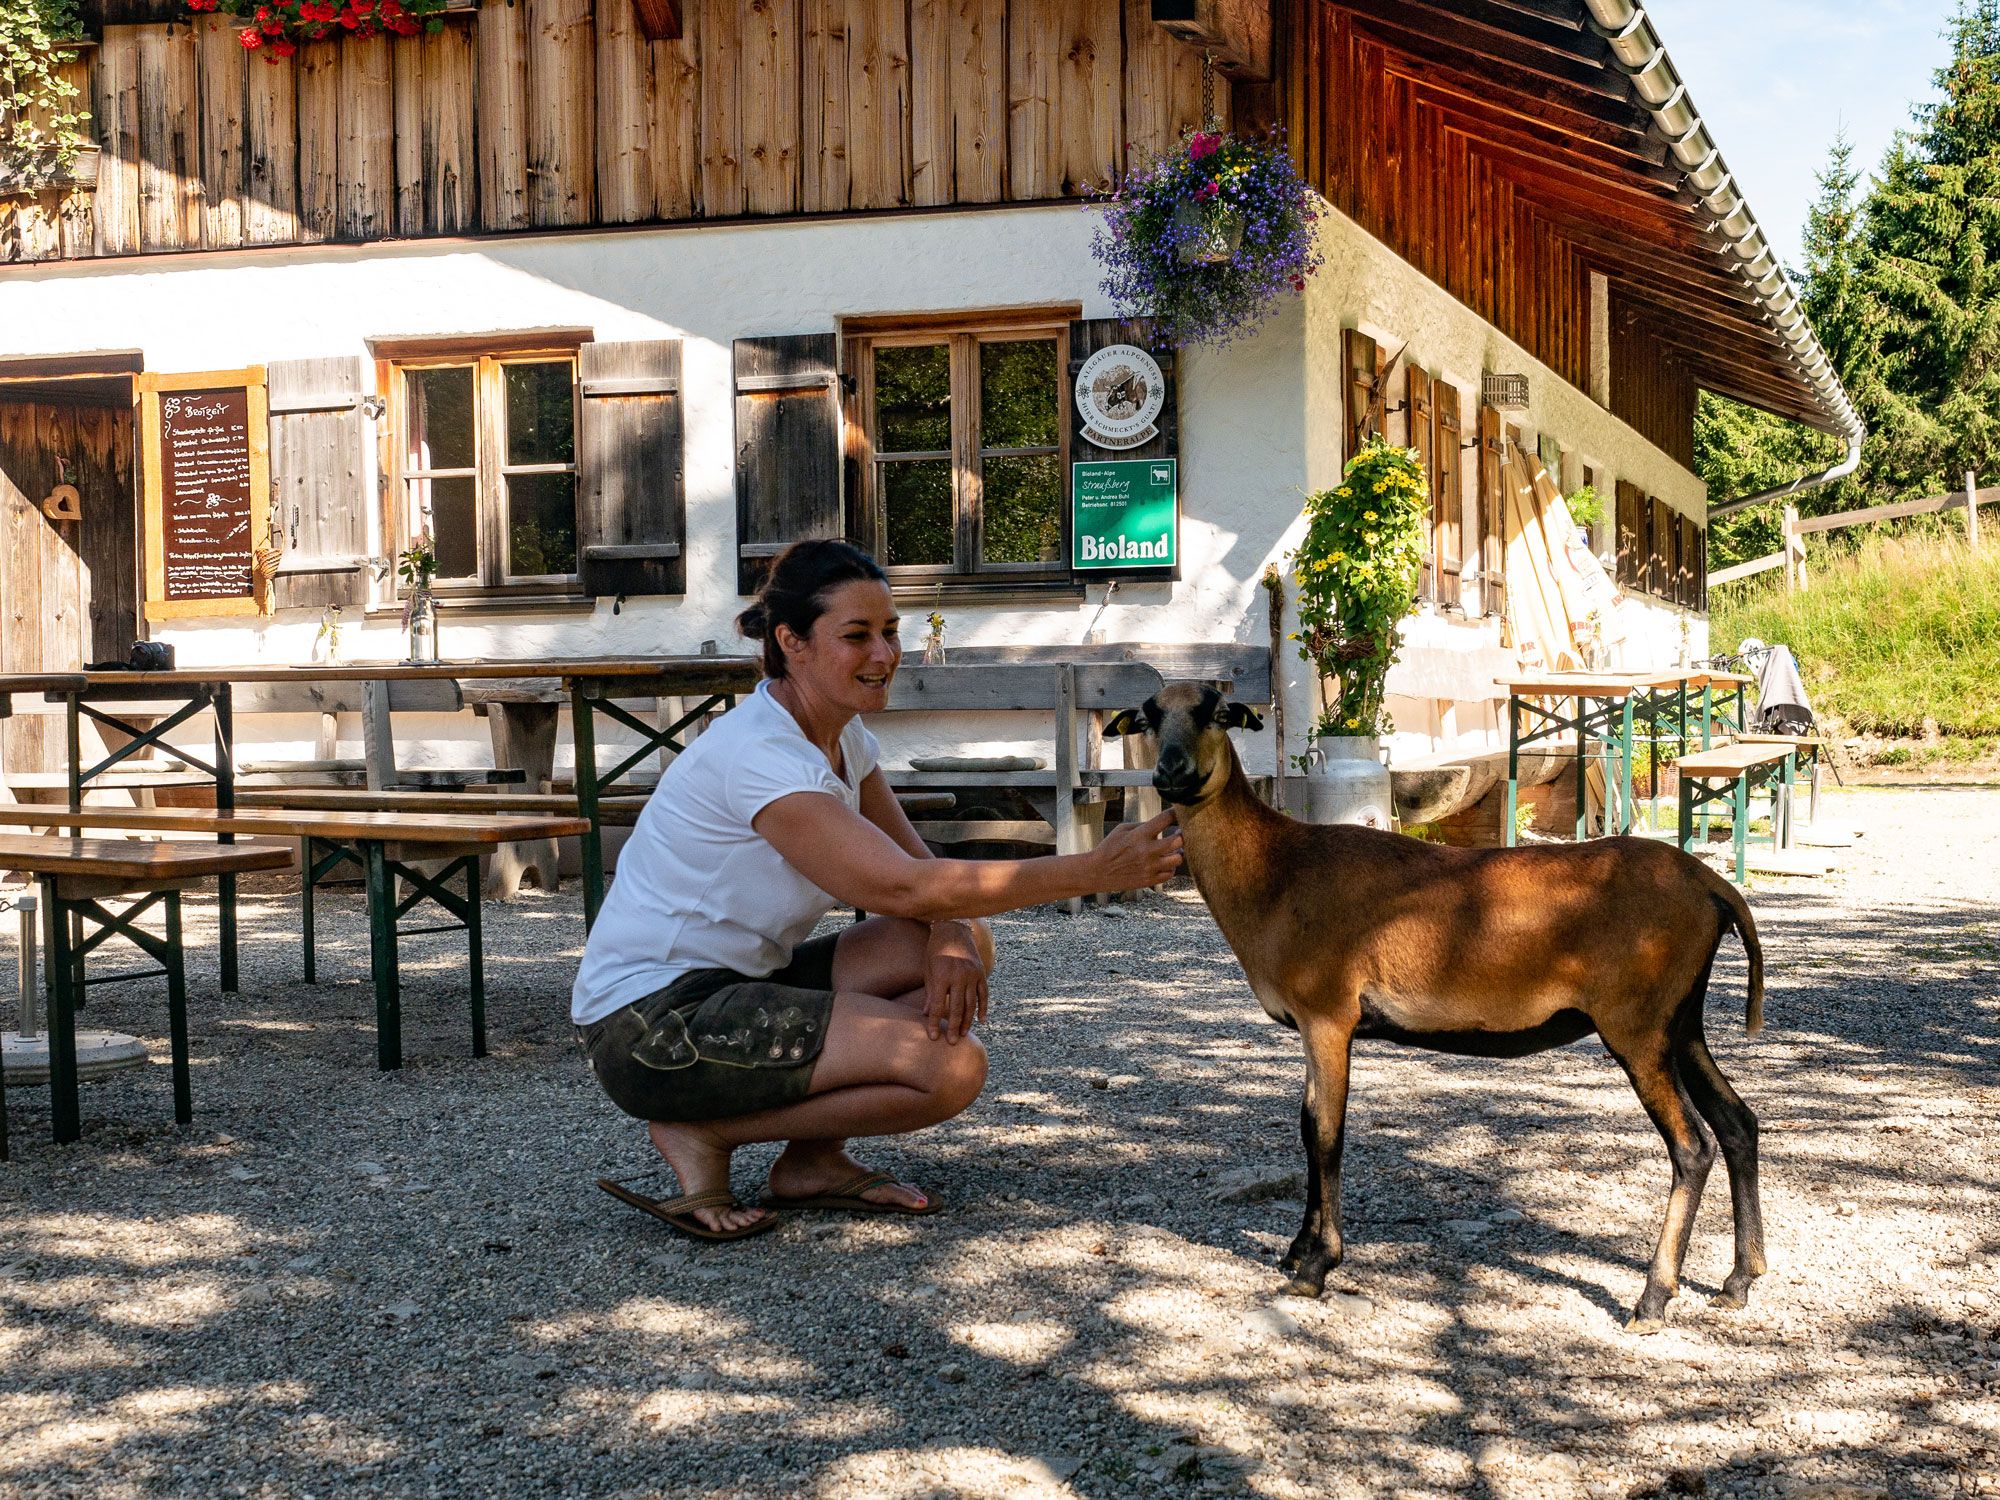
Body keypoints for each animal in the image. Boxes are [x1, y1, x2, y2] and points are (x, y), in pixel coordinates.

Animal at [1104, 680, 1776, 1328]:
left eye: (1218, 713)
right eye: (1148, 714)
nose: (1171, 771)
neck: (1274, 871)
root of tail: (1712, 886)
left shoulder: (1328, 1015)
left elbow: (1325, 1134)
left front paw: (1317, 1266)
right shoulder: (1313, 1025)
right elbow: (1305, 1126)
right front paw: (1296, 1249)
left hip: (1637, 1024)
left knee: (1692, 1148)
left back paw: (1652, 1300)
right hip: (1680, 1021)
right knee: (1737, 1122)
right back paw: (1740, 1280)